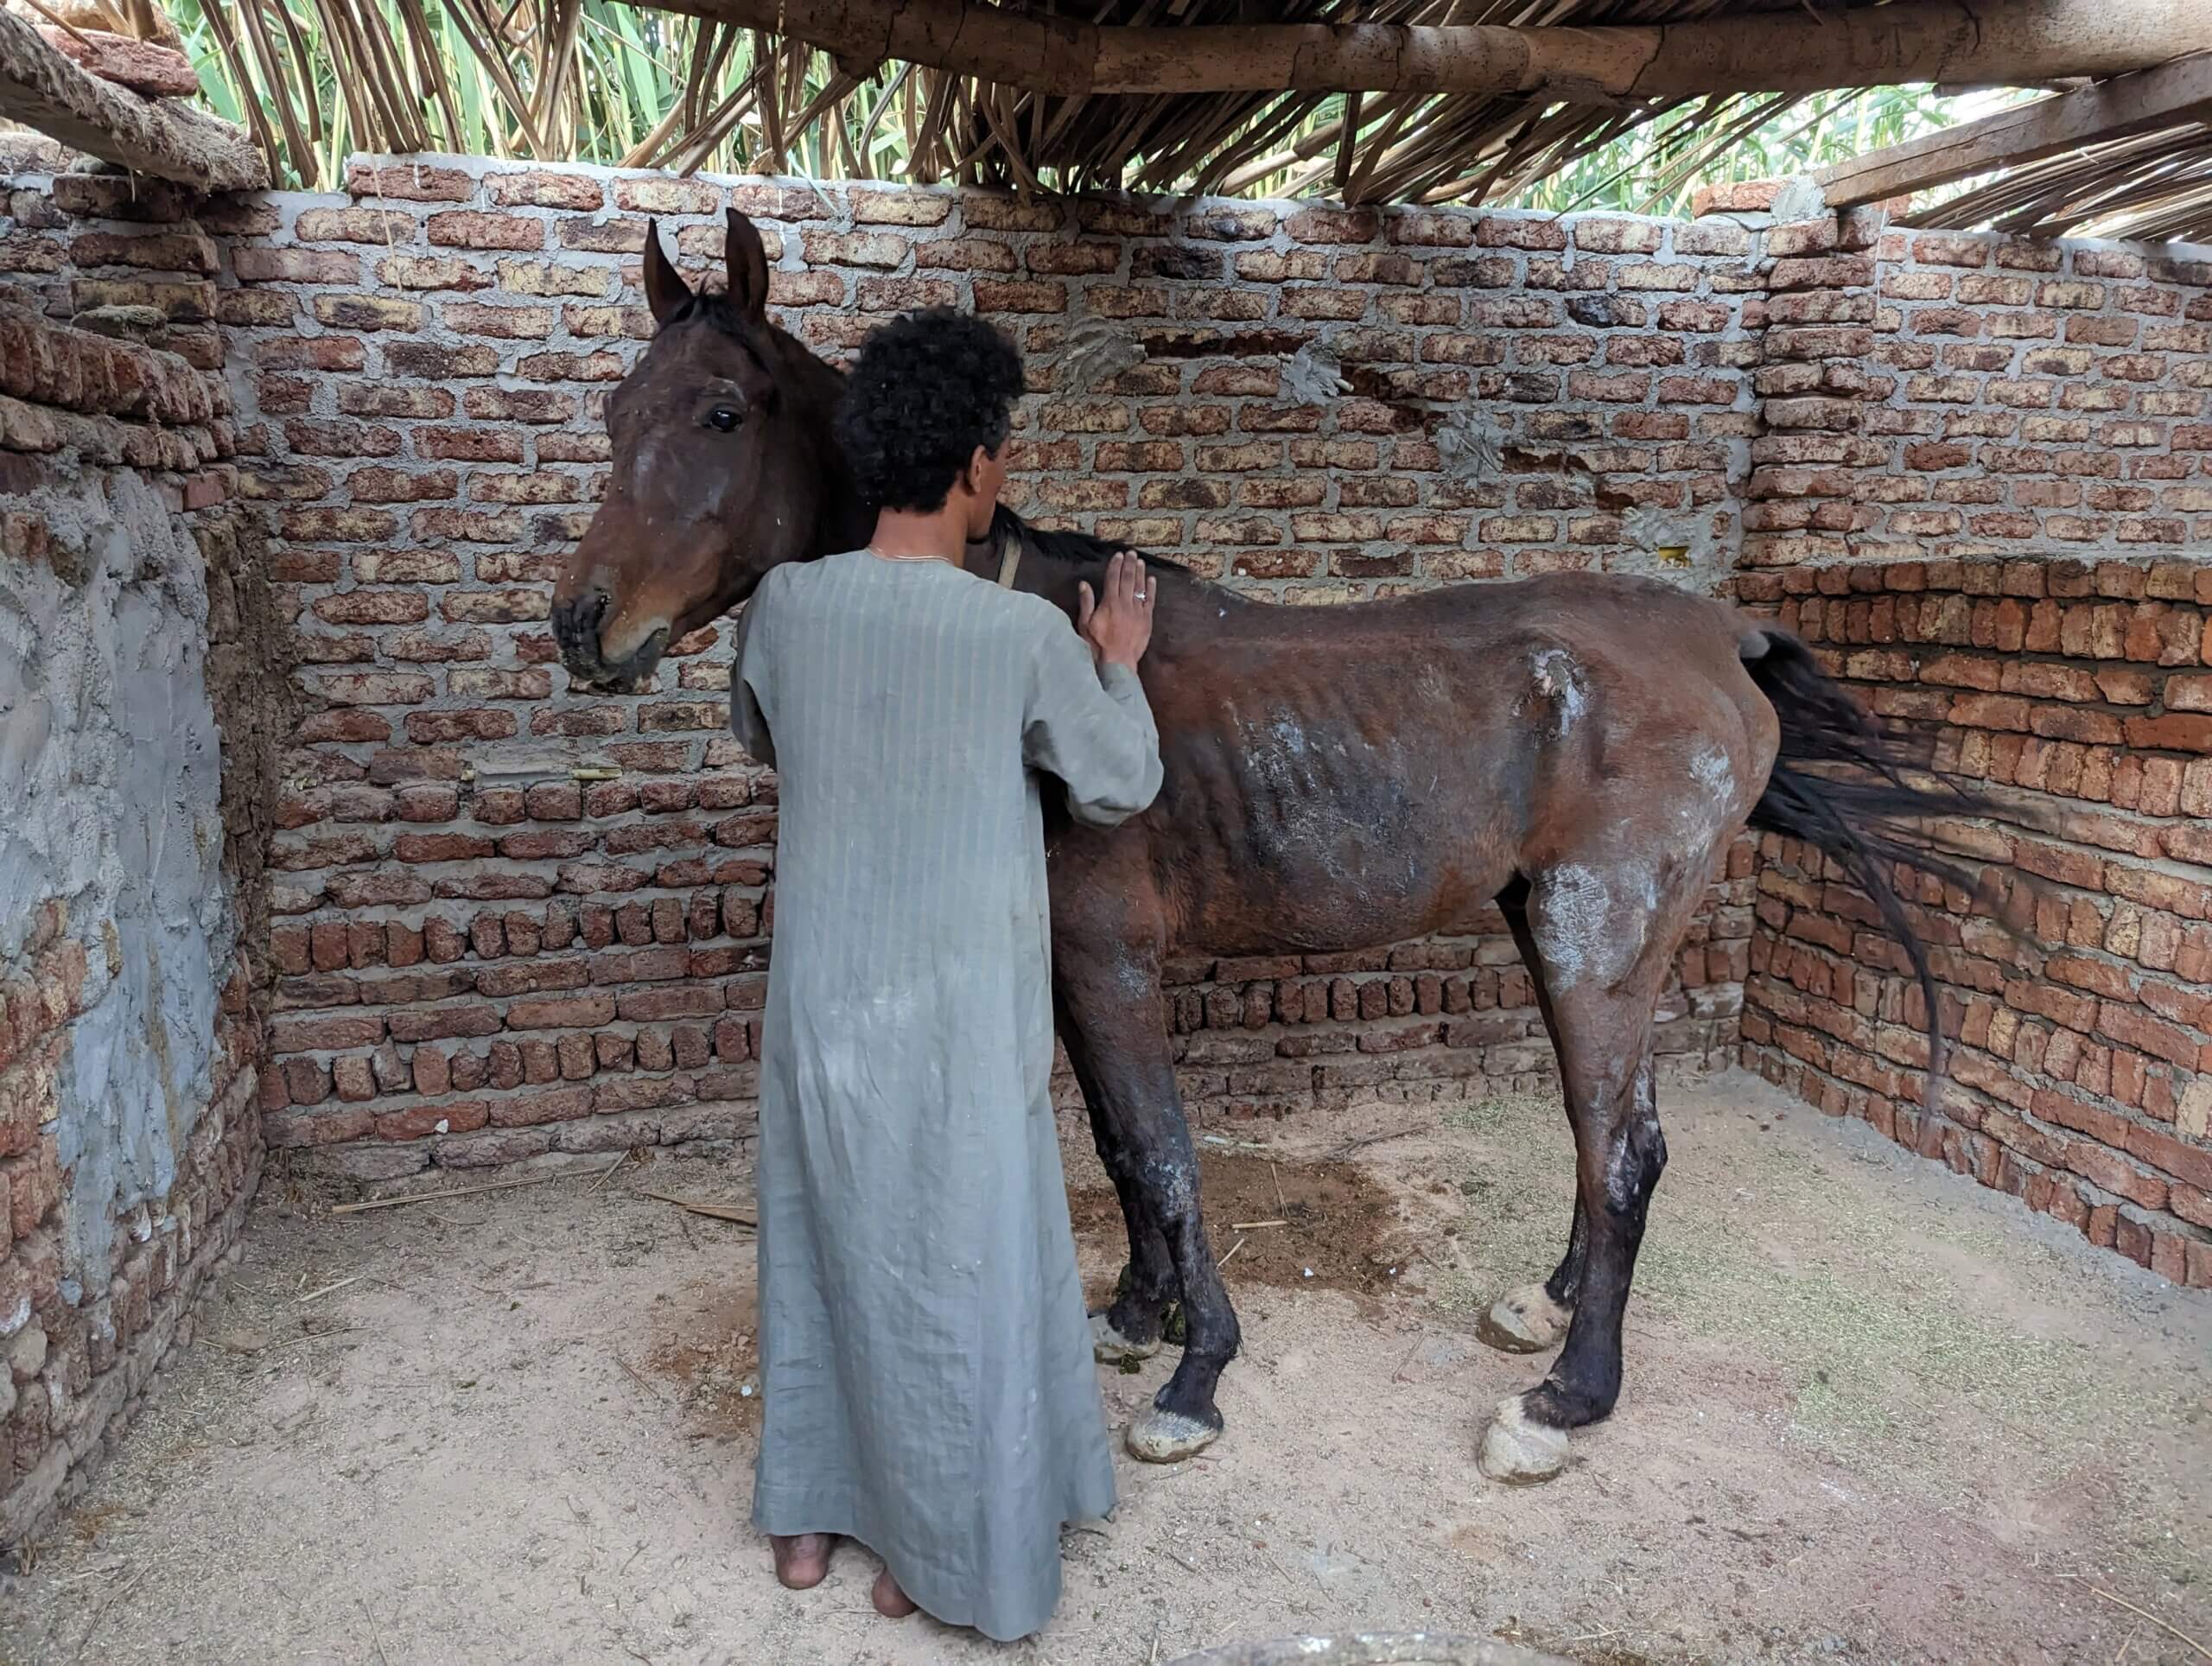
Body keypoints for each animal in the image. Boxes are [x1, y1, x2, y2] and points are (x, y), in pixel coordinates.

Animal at [553, 211, 1973, 1478]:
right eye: (619, 414)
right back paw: (1550, 1303)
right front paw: (1138, 1315)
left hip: (1596, 940)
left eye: (722, 414)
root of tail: (1721, 633)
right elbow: (1117, 1149)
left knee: (1620, 1147)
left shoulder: (1112, 964)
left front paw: (1197, 1370)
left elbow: (1166, 1157)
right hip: (1561, 929)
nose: (583, 624)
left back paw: (1566, 1400)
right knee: (1612, 1132)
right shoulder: (1068, 971)